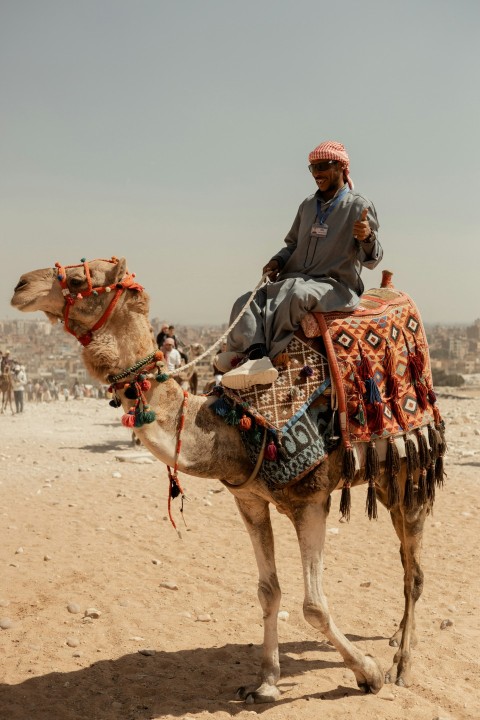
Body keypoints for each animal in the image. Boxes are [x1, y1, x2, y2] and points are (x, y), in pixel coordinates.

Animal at [11, 256, 441, 703]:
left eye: (80, 280)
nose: (21, 285)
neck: (232, 427)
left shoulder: (310, 500)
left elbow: (313, 605)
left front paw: (368, 673)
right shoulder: (248, 499)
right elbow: (268, 591)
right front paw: (265, 682)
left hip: (411, 469)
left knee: (414, 571)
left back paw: (401, 666)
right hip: (387, 476)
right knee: (407, 562)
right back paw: (396, 638)